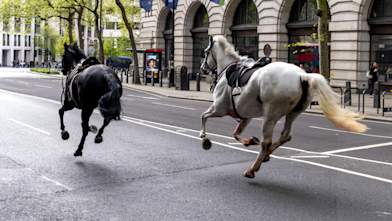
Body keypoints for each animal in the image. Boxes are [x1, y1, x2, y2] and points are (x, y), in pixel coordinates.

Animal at [199, 35, 368, 179]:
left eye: (205, 52)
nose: (202, 69)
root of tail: (303, 75)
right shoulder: (245, 116)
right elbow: (235, 133)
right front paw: (249, 141)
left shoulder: (219, 108)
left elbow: (204, 116)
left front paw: (204, 138)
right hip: (293, 113)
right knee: (285, 135)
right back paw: (266, 156)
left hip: (270, 115)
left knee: (267, 142)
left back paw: (252, 168)